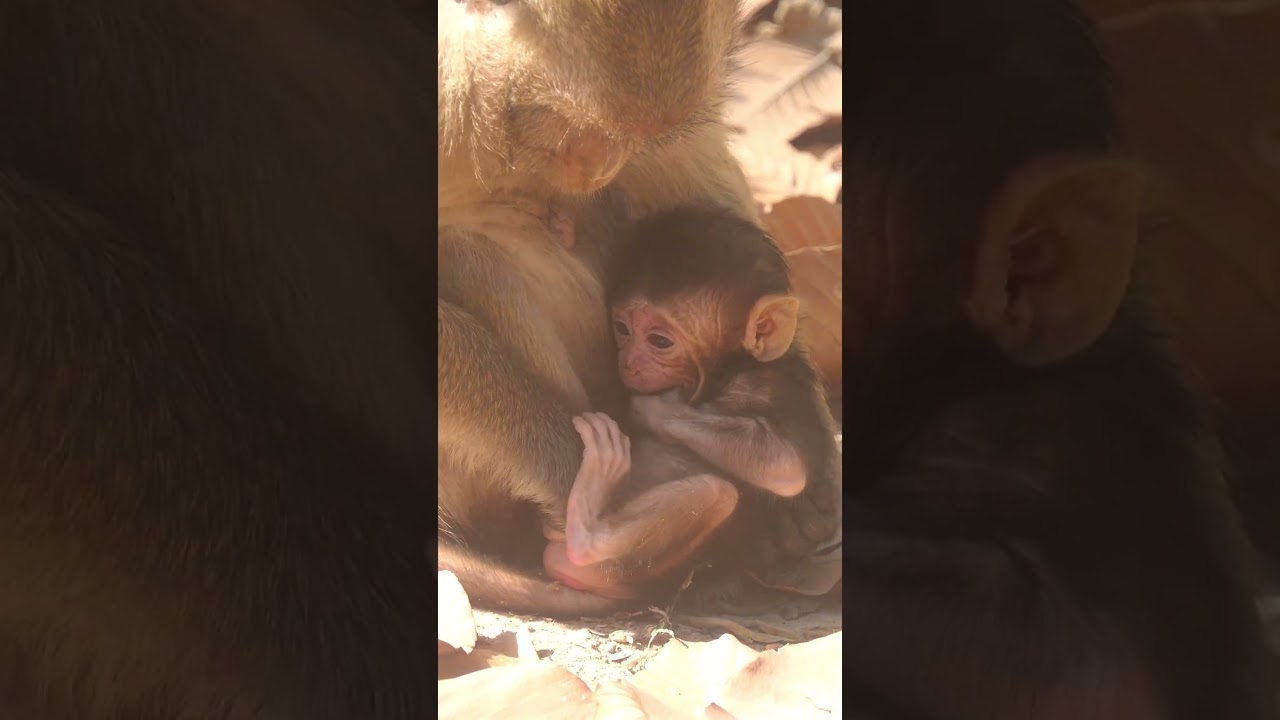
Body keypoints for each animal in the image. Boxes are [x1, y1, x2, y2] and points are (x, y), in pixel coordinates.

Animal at [536, 209, 842, 598]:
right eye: (622, 328)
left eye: (660, 341)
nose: (628, 364)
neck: (729, 371)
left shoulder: (770, 386)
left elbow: (785, 467)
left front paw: (653, 408)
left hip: (630, 570)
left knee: (718, 492)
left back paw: (588, 525)